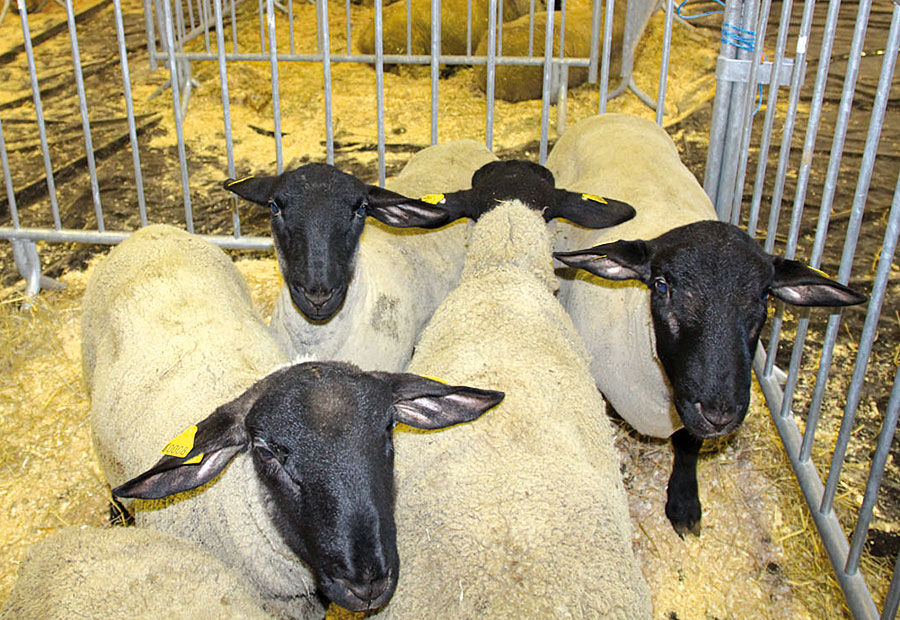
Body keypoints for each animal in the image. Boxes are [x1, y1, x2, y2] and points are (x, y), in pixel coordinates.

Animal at [544, 112, 868, 536]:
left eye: (765, 295)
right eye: (662, 286)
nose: (720, 412)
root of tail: (615, 113)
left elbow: (688, 444)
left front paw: (683, 503)